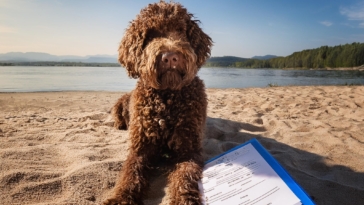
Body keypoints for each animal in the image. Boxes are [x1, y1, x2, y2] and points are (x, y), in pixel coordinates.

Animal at [102, 0, 212, 204]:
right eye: (150, 34)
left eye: (180, 29)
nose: (170, 57)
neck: (166, 99)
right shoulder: (140, 149)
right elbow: (130, 174)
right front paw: (121, 198)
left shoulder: (189, 149)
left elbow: (185, 176)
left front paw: (183, 199)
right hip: (120, 102)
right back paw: (119, 124)